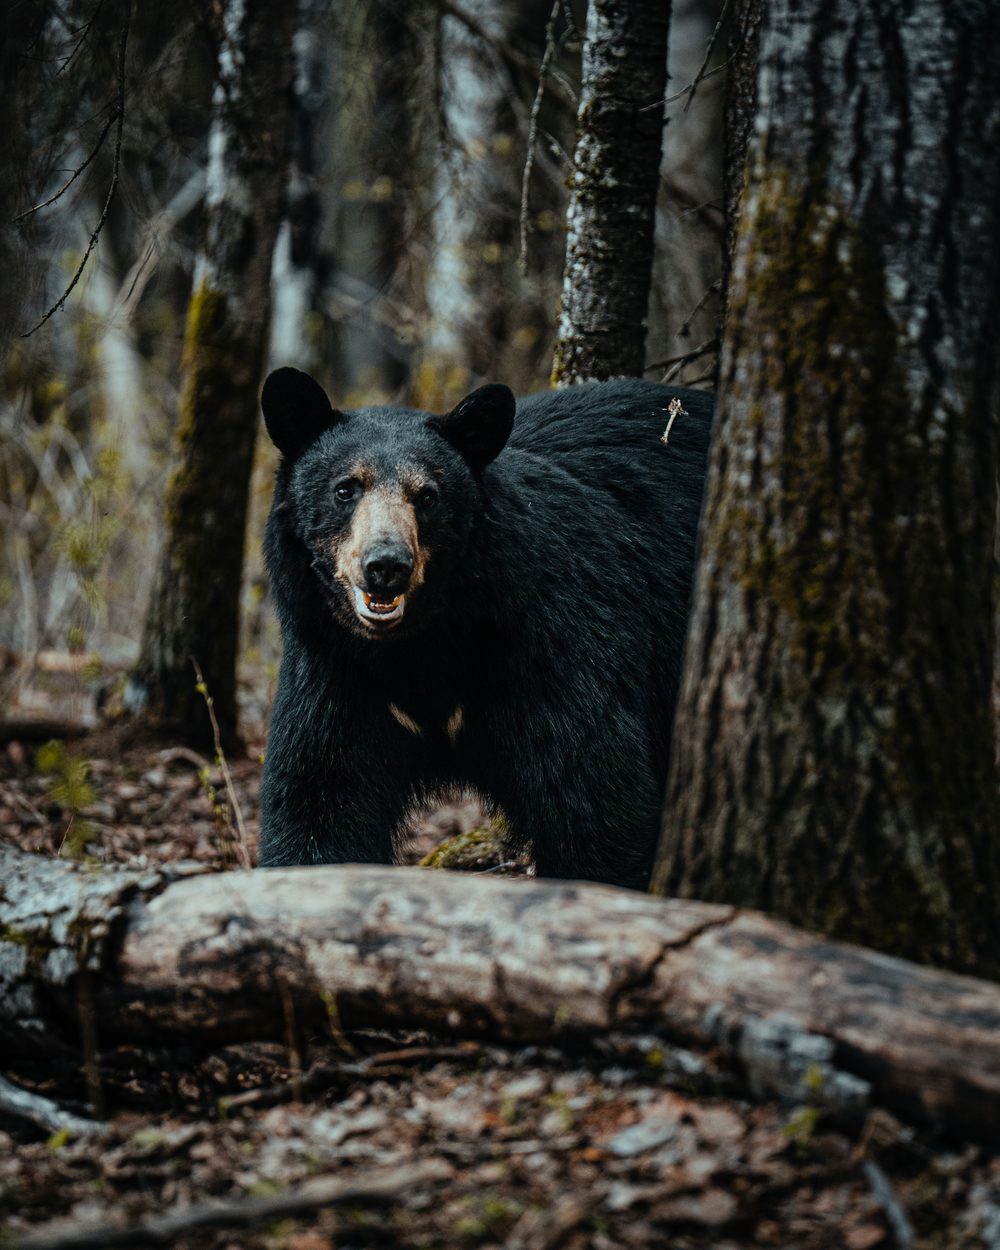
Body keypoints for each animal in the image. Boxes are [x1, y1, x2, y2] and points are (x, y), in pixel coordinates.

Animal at [258, 369, 712, 890]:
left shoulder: (551, 647)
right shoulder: (335, 671)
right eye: (345, 489)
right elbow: (319, 805)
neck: (422, 646)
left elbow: (594, 803)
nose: (386, 566)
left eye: (427, 496)